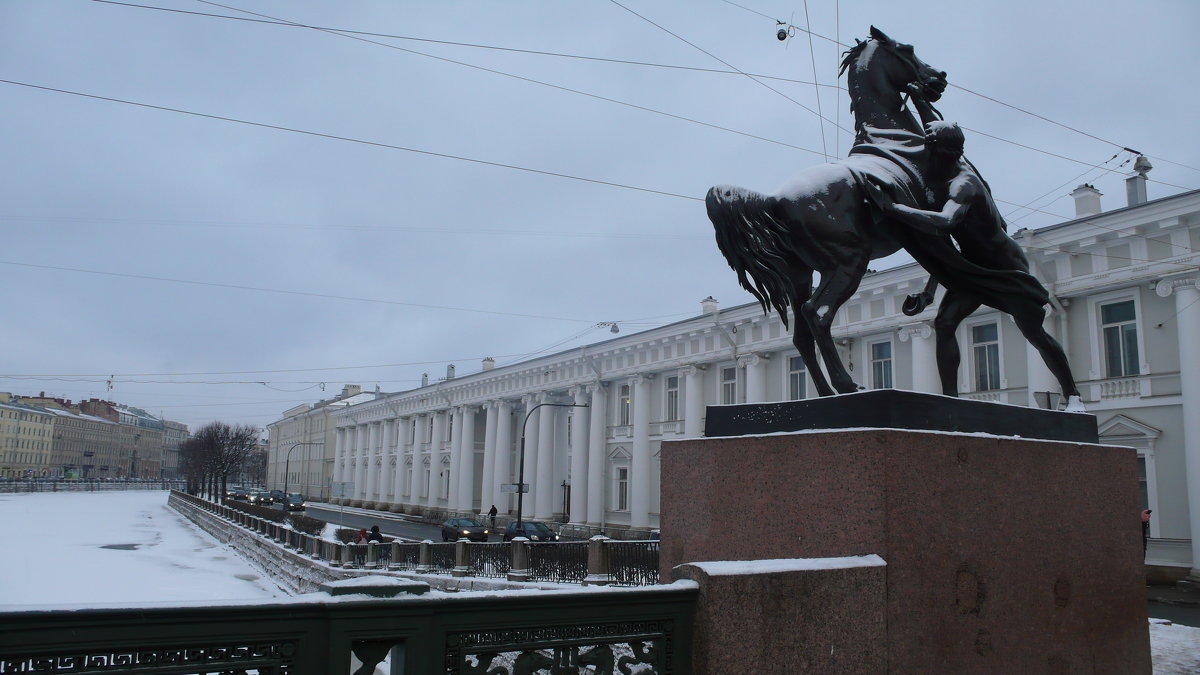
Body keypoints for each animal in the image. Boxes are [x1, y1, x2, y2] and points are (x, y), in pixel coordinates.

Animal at [700, 27, 945, 393]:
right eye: (907, 48)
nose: (938, 78)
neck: (893, 137)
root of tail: (774, 199)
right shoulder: (940, 215)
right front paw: (919, 299)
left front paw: (920, 299)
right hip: (847, 263)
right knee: (817, 314)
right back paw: (845, 385)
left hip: (802, 275)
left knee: (801, 332)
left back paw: (826, 390)